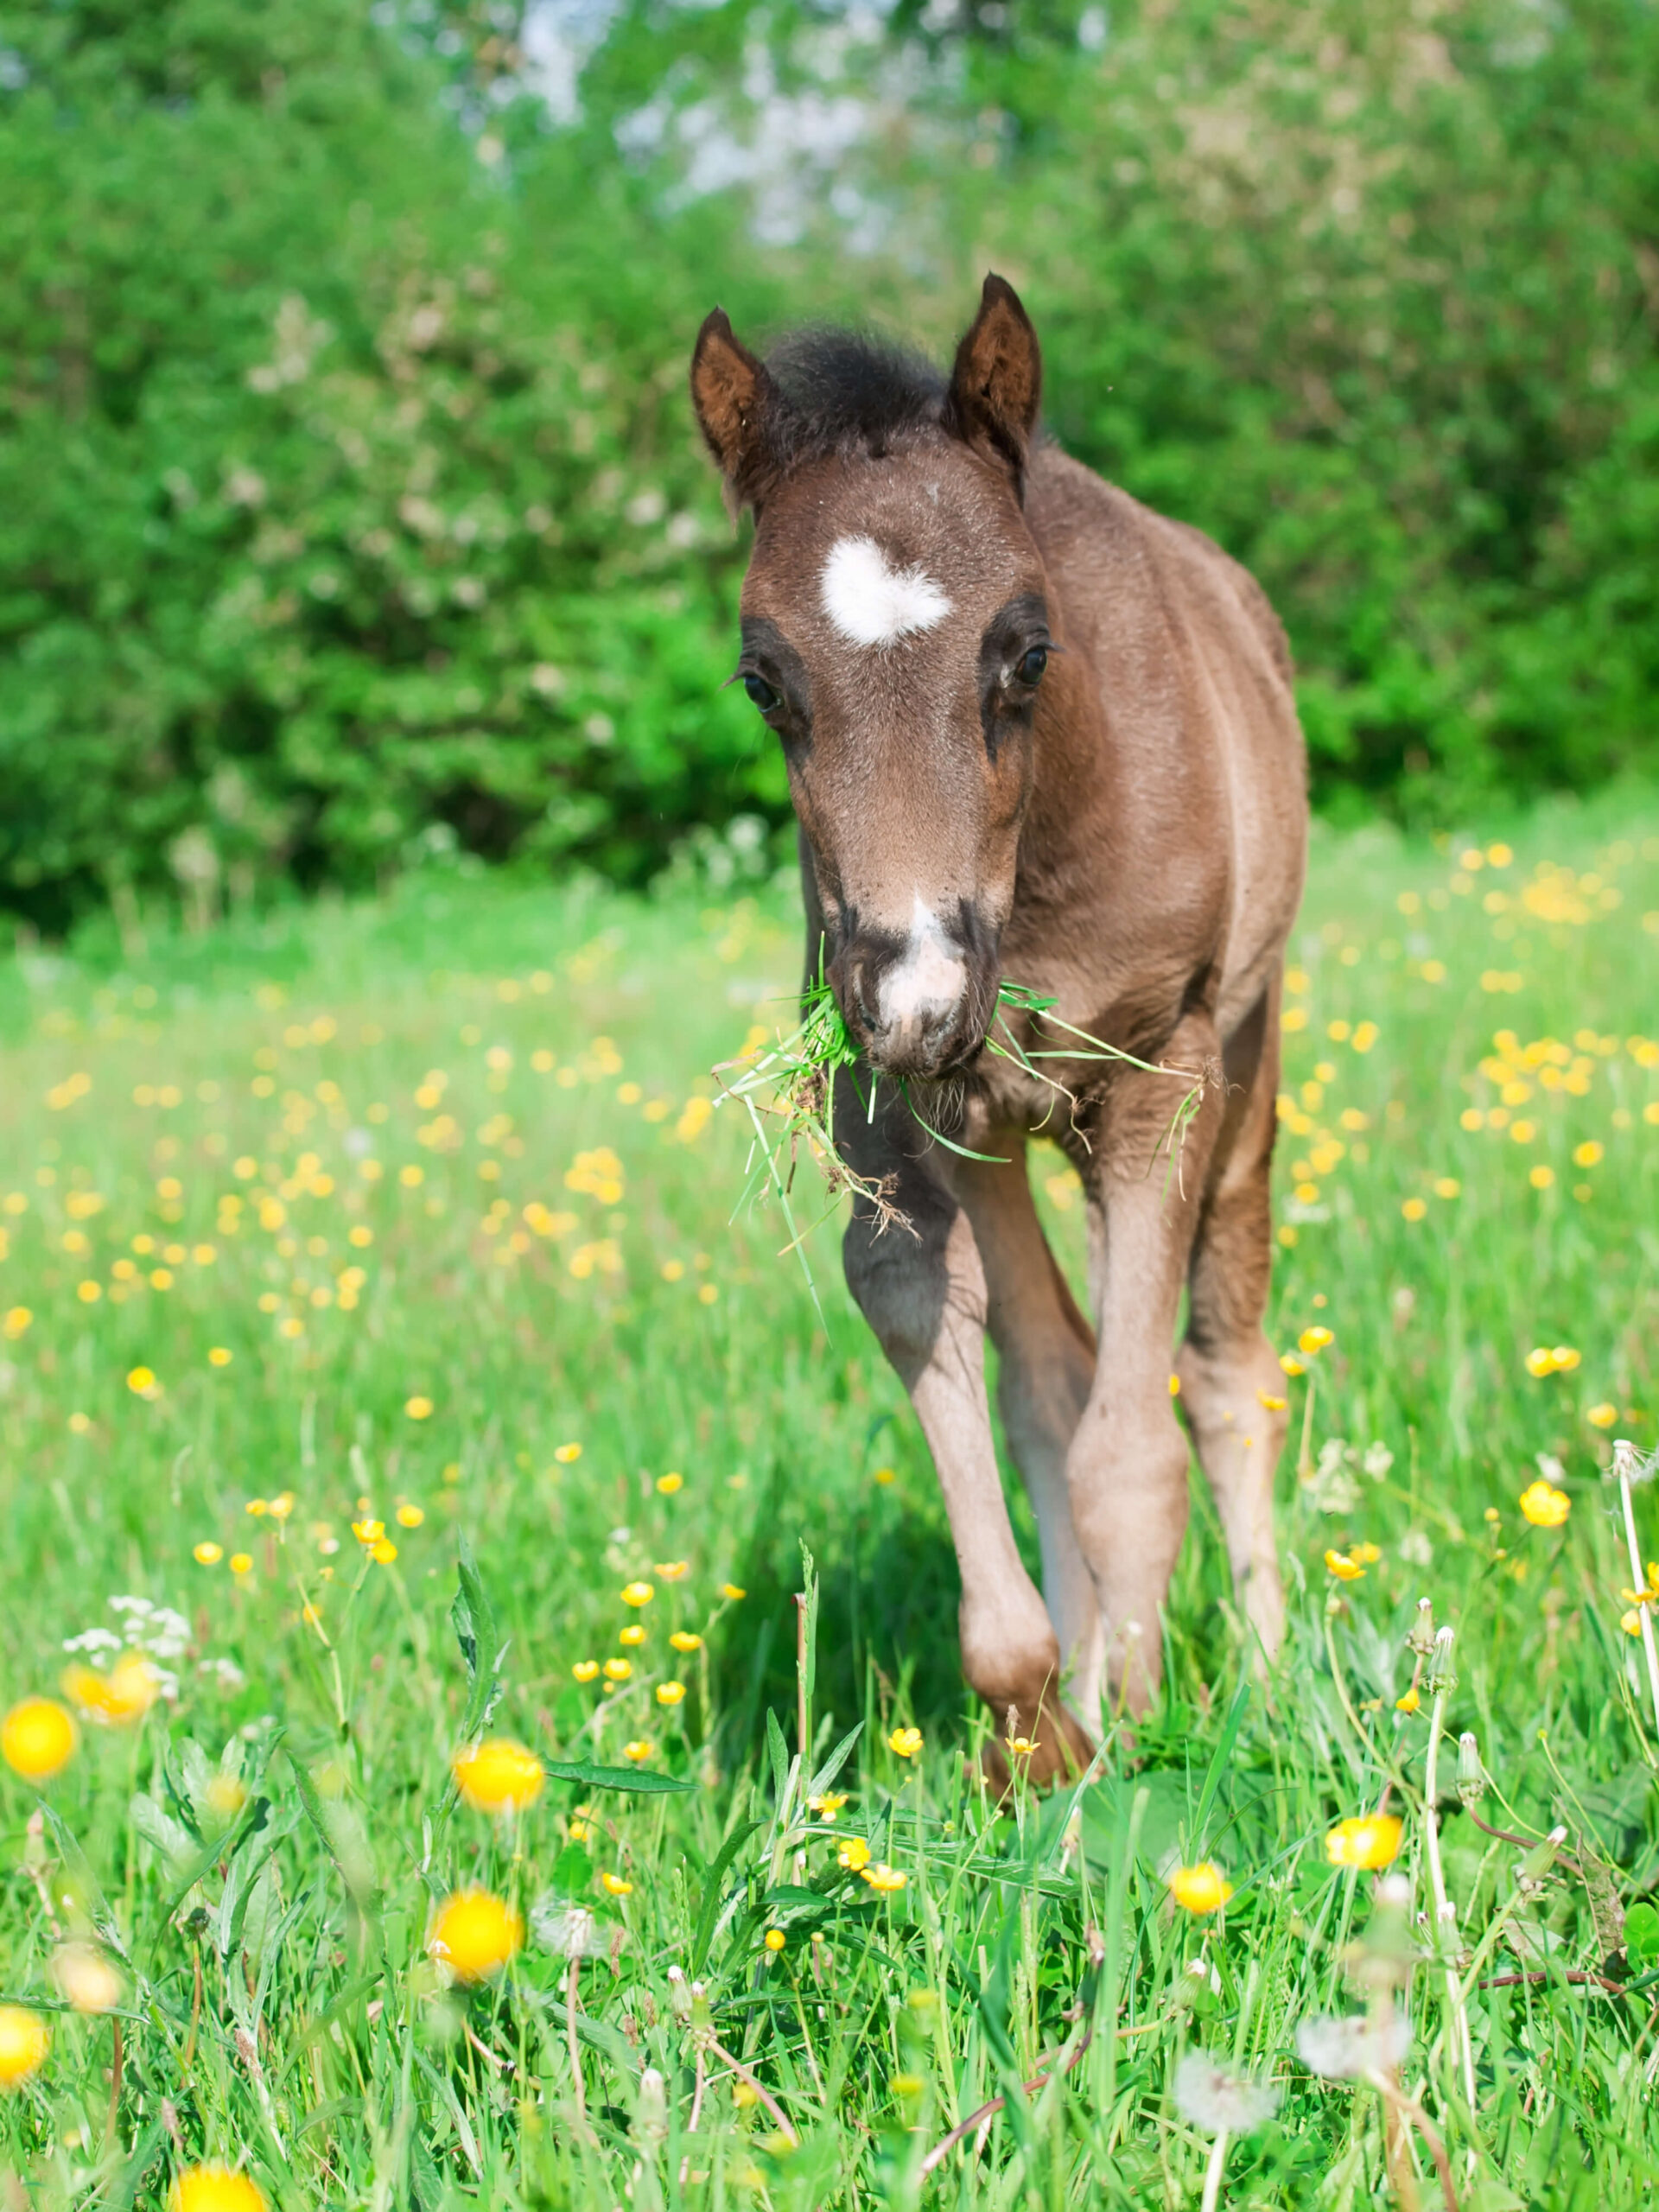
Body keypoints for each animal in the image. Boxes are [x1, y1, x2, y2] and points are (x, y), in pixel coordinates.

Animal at [691, 276, 1307, 1781]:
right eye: (764, 682)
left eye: (1026, 651)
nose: (920, 990)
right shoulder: (911, 1096)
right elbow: (978, 1348)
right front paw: (1042, 1715)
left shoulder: (1160, 1085)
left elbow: (1131, 1447)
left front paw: (1135, 1721)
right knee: (1059, 1375)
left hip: (1245, 1073)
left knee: (1226, 1371)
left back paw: (1271, 1681)